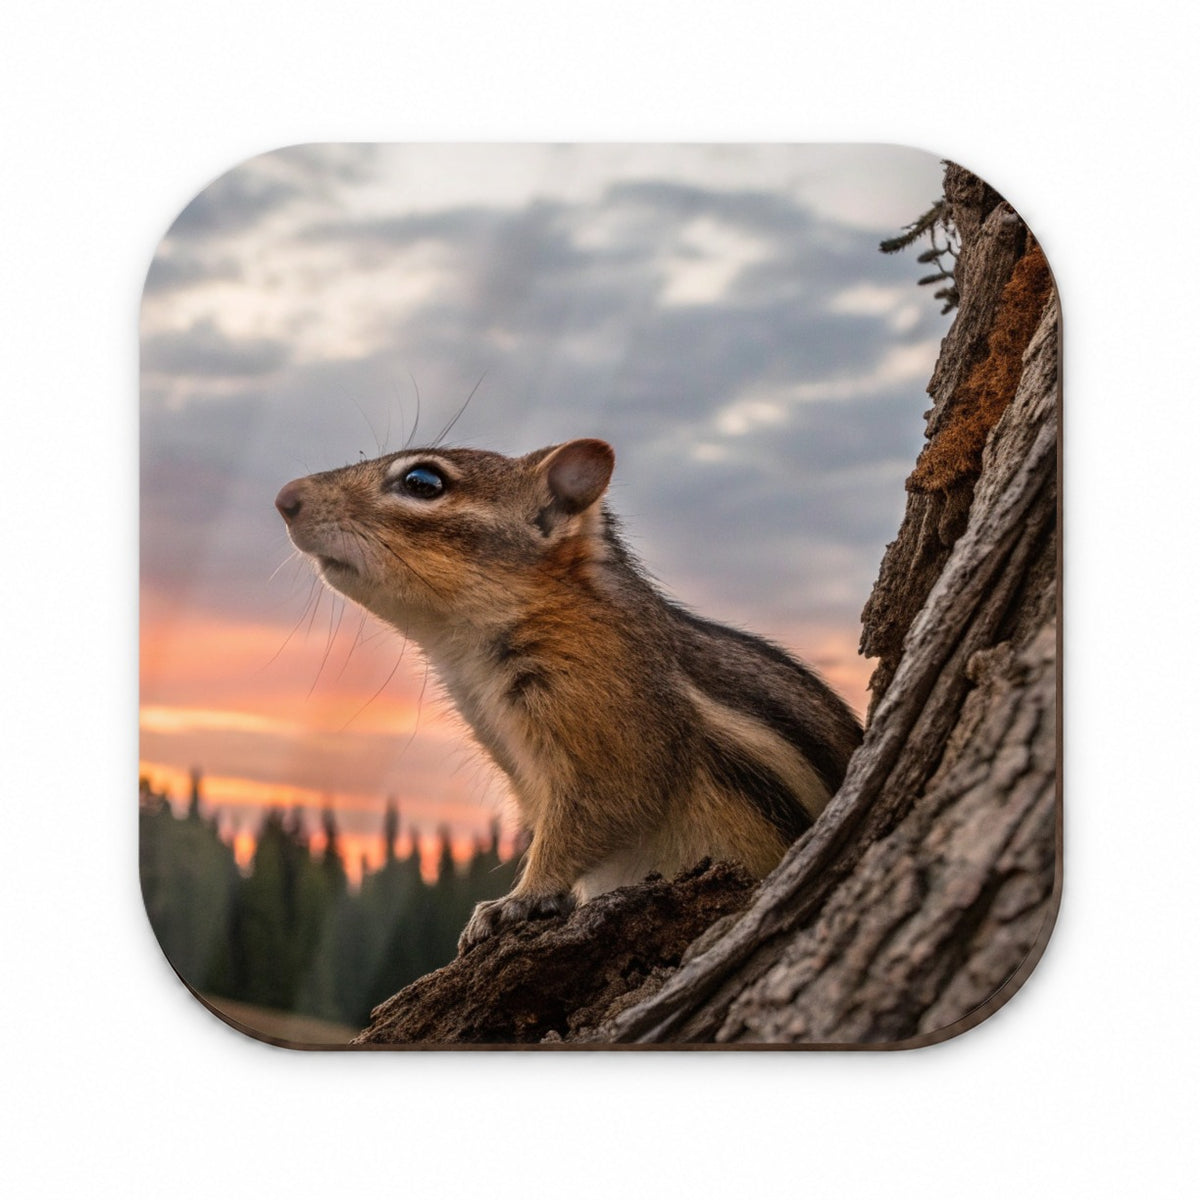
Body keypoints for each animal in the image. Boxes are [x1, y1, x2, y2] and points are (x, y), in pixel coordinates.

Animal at [275, 438, 862, 951]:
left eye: (423, 482)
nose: (285, 498)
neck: (466, 655)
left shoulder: (605, 721)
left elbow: (592, 817)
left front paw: (516, 900)